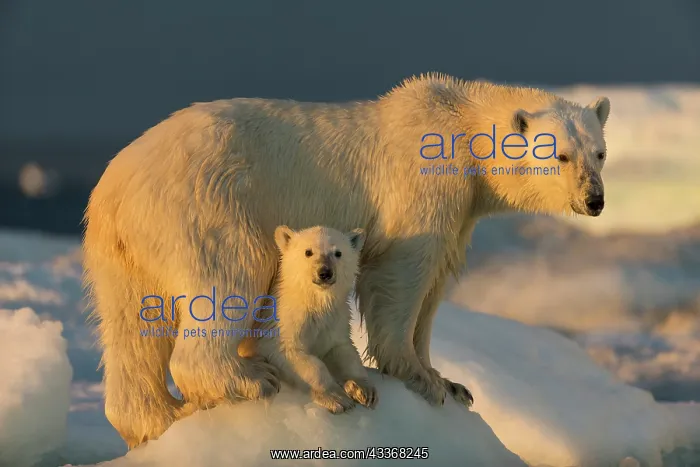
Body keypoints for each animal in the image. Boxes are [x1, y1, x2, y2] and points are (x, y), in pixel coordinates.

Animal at [238, 225, 377, 414]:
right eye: (308, 252)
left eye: (338, 253)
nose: (325, 273)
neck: (314, 301)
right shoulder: (281, 322)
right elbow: (296, 355)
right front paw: (337, 398)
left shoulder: (335, 320)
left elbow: (343, 350)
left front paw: (363, 389)